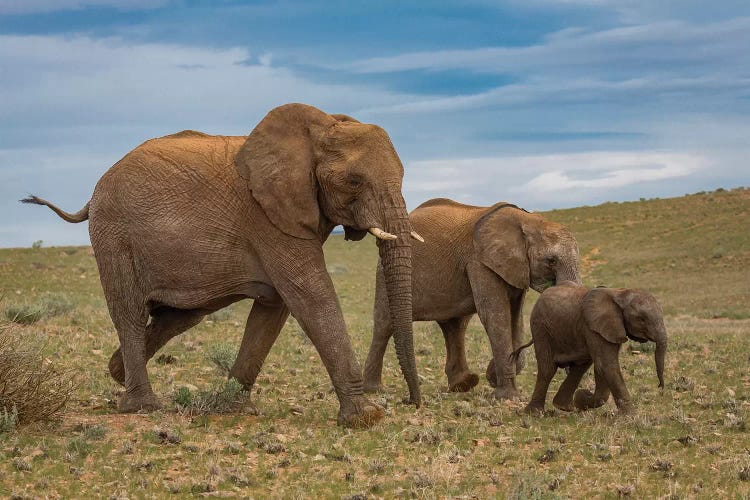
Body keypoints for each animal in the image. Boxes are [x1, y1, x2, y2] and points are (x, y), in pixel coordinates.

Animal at [23, 103, 424, 428]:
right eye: (354, 181)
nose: (414, 403)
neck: (320, 128)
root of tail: (94, 192)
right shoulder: (266, 218)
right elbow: (310, 294)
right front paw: (366, 417)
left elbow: (273, 308)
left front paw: (233, 407)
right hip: (114, 236)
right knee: (130, 313)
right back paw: (143, 407)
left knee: (179, 316)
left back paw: (117, 373)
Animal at [362, 198, 580, 398]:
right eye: (551, 261)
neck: (528, 219)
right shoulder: (479, 262)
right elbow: (495, 315)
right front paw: (506, 396)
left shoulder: (516, 270)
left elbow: (515, 318)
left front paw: (494, 375)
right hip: (384, 272)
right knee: (385, 324)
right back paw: (374, 389)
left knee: (456, 325)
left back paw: (463, 385)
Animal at [524, 282, 668, 414]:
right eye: (641, 319)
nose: (660, 387)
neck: (619, 293)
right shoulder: (593, 327)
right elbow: (606, 365)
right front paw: (630, 416)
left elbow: (602, 366)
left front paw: (581, 399)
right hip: (540, 328)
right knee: (547, 368)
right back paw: (535, 413)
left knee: (580, 367)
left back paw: (564, 407)